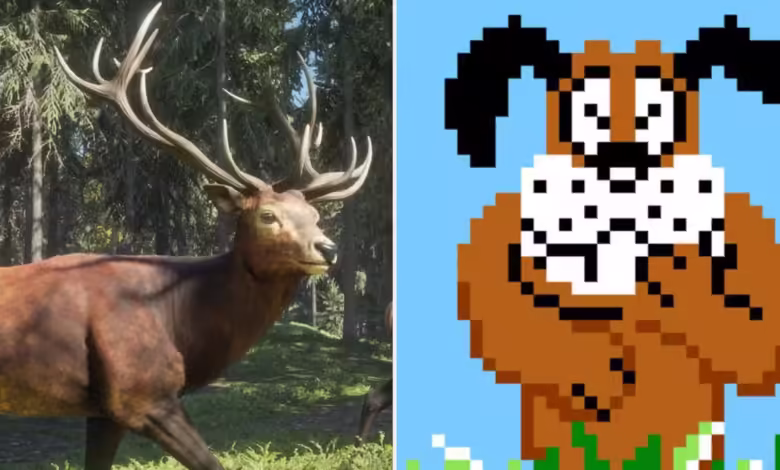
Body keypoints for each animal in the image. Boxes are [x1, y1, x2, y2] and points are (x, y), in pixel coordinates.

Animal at [0, 3, 371, 470]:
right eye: (268, 215)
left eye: (315, 214)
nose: (328, 248)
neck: (181, 320)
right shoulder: (142, 394)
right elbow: (212, 462)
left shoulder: (105, 412)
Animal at [448, 15, 780, 469]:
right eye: (588, 112)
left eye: (657, 112)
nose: (624, 158)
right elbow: (504, 315)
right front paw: (602, 378)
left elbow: (758, 340)